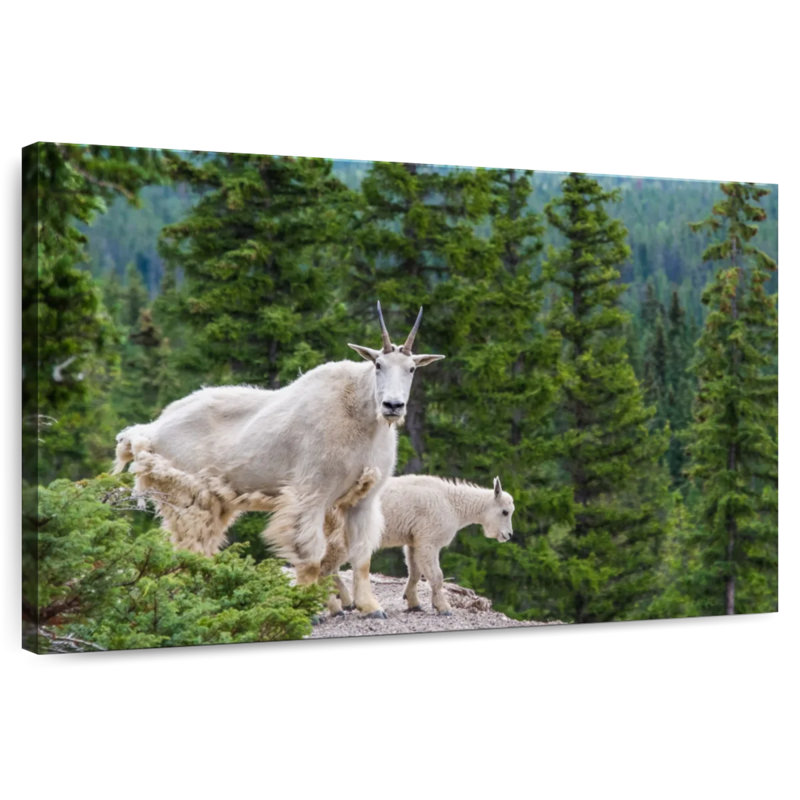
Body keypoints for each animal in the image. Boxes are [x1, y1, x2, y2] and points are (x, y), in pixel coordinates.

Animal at [113, 303, 445, 617]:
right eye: (378, 364)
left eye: (411, 368)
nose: (393, 405)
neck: (361, 415)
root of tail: (149, 431)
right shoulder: (311, 493)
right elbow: (311, 556)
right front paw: (312, 610)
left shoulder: (363, 499)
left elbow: (361, 557)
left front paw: (370, 608)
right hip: (187, 496)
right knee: (187, 547)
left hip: (212, 501)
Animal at [322, 475, 515, 615]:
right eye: (505, 512)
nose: (508, 535)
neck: (452, 504)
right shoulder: (428, 541)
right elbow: (436, 576)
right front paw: (443, 607)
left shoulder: (413, 541)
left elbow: (415, 572)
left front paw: (413, 603)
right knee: (326, 568)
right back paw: (339, 608)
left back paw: (346, 602)